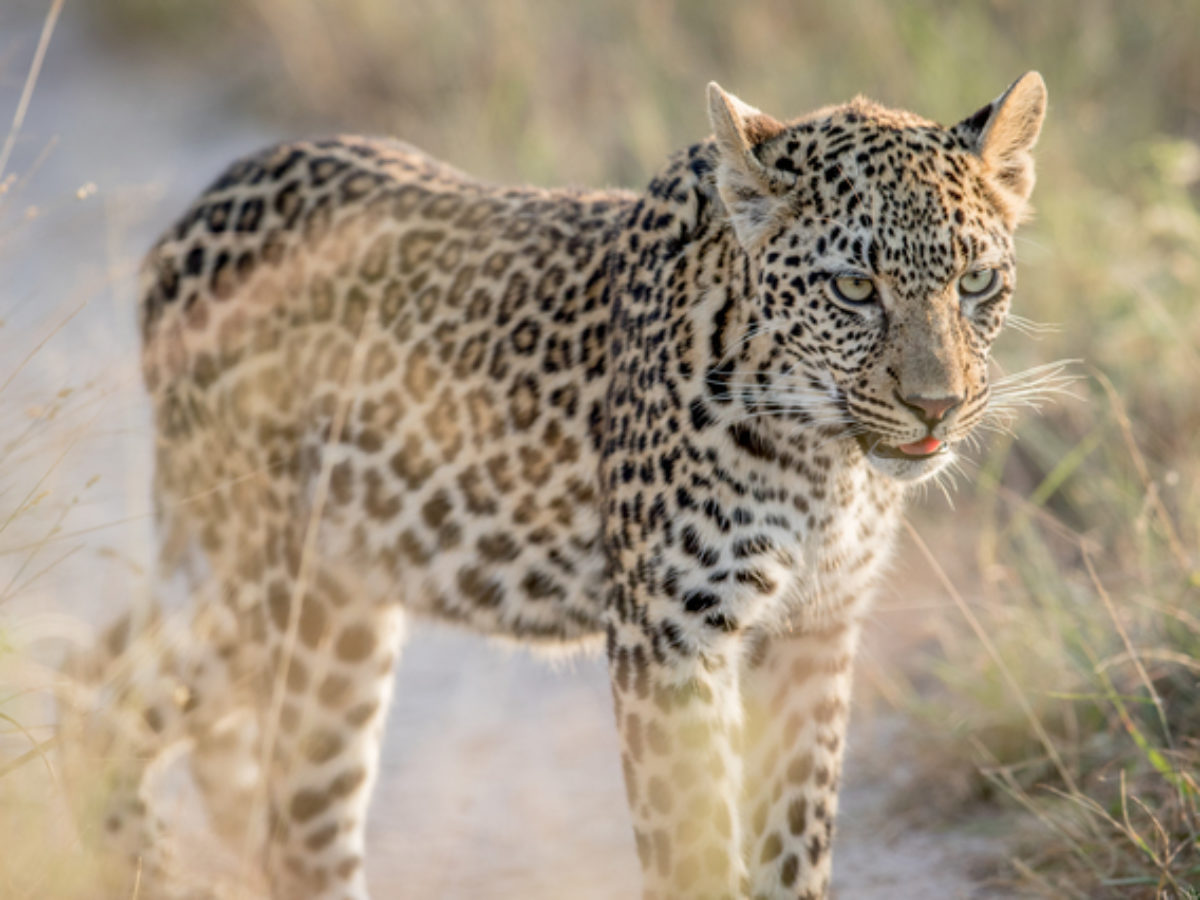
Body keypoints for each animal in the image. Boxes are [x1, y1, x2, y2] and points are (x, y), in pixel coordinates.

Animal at [60, 72, 1046, 900]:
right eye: (852, 288)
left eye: (977, 281)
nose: (936, 406)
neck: (826, 463)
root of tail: (195, 212)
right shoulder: (671, 638)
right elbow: (693, 848)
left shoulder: (813, 635)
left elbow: (793, 846)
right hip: (283, 590)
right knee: (247, 787)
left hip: (326, 588)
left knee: (115, 682)